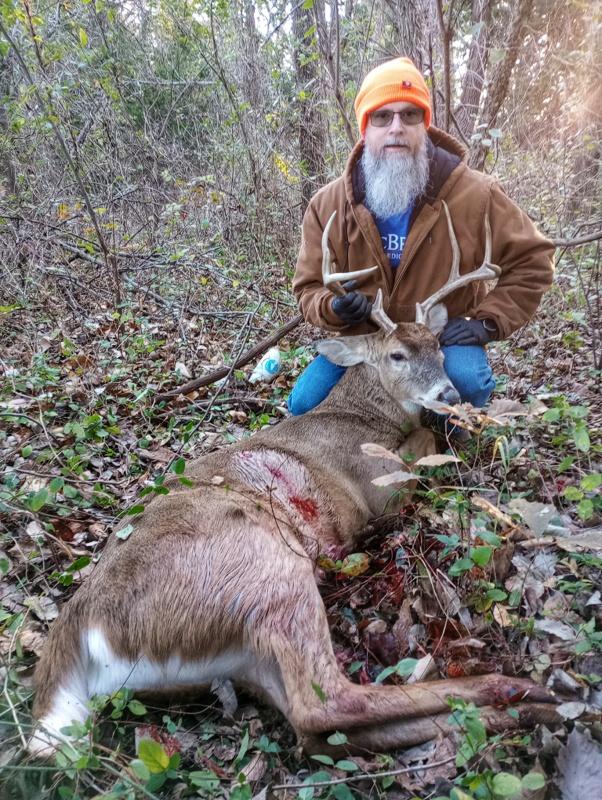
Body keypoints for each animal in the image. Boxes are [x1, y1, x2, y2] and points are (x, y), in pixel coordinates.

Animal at [29, 204, 560, 759]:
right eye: (396, 355)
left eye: (437, 345)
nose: (448, 394)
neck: (362, 415)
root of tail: (78, 629)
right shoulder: (377, 483)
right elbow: (427, 442)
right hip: (267, 575)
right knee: (327, 704)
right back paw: (519, 690)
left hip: (239, 659)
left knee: (313, 730)